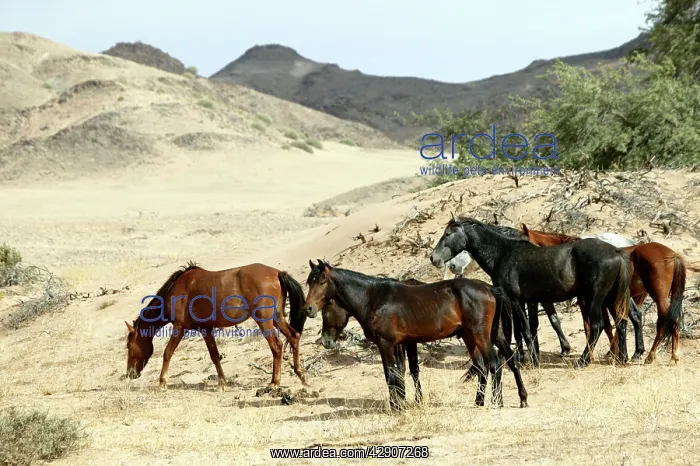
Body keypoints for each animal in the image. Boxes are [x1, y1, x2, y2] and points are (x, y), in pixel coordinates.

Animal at [125, 261, 313, 391]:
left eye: (128, 345)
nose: (130, 374)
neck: (178, 290)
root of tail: (278, 273)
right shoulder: (205, 329)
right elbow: (215, 356)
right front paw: (222, 383)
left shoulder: (179, 327)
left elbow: (167, 353)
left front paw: (162, 382)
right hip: (278, 318)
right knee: (294, 337)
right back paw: (301, 374)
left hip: (264, 321)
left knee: (277, 346)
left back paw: (274, 382)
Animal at [303, 260, 528, 411]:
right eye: (309, 282)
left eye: (322, 281)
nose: (308, 309)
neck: (373, 298)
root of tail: (489, 288)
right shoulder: (397, 344)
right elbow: (397, 374)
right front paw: (401, 404)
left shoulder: (387, 344)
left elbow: (394, 375)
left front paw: (398, 407)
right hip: (471, 336)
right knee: (489, 364)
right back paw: (492, 401)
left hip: (481, 335)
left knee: (494, 363)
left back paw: (497, 402)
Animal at [430, 217, 633, 368]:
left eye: (448, 234)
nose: (434, 258)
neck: (503, 254)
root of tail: (615, 251)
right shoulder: (527, 301)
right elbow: (527, 329)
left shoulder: (515, 300)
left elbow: (525, 330)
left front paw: (533, 361)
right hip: (611, 298)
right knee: (621, 321)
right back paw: (622, 358)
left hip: (594, 298)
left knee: (598, 326)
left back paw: (583, 361)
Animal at [520, 224, 687, 364]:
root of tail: (673, 255)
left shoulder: (586, 300)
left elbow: (591, 325)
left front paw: (593, 354)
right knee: (649, 318)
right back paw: (646, 354)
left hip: (658, 297)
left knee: (668, 320)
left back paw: (663, 356)